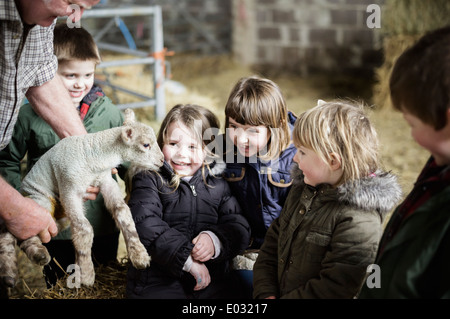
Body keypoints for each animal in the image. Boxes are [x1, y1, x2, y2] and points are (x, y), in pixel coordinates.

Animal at [0, 108, 163, 288]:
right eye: (146, 145)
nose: (162, 160)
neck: (94, 155)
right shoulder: (69, 189)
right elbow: (84, 229)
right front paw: (85, 274)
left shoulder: (105, 180)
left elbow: (122, 212)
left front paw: (139, 255)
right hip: (38, 202)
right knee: (10, 229)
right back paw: (9, 273)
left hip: (59, 218)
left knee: (24, 236)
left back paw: (38, 255)